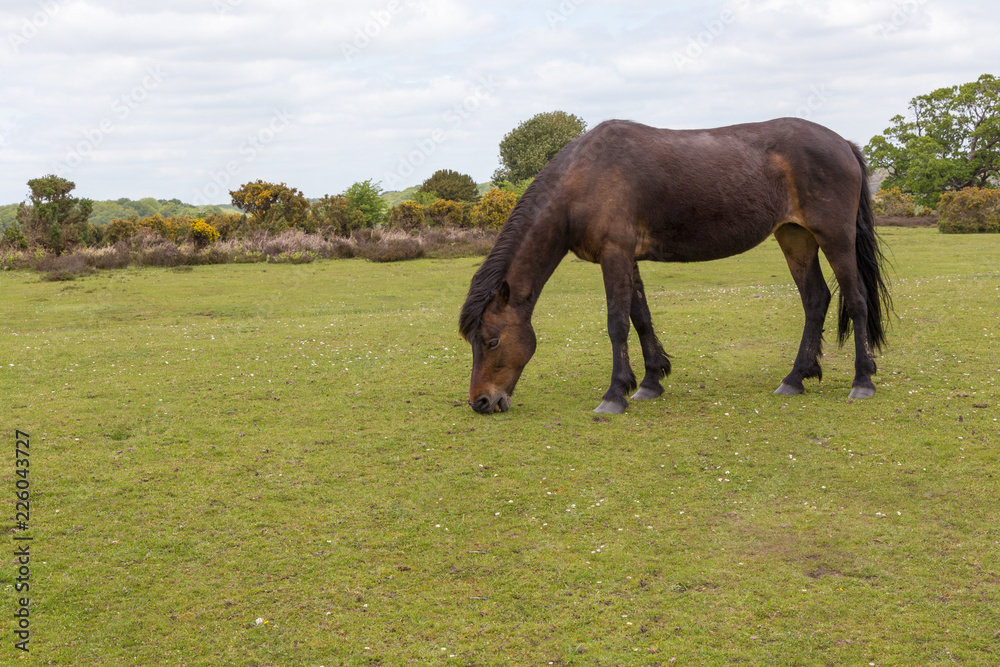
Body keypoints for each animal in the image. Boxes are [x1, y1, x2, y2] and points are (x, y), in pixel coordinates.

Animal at [460, 118, 892, 414]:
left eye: (491, 341)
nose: (481, 402)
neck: (585, 177)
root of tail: (842, 143)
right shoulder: (627, 258)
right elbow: (641, 318)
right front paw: (650, 381)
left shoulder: (615, 254)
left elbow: (617, 323)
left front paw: (614, 394)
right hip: (795, 238)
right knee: (816, 300)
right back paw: (796, 378)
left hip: (835, 238)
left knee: (856, 301)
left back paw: (862, 380)